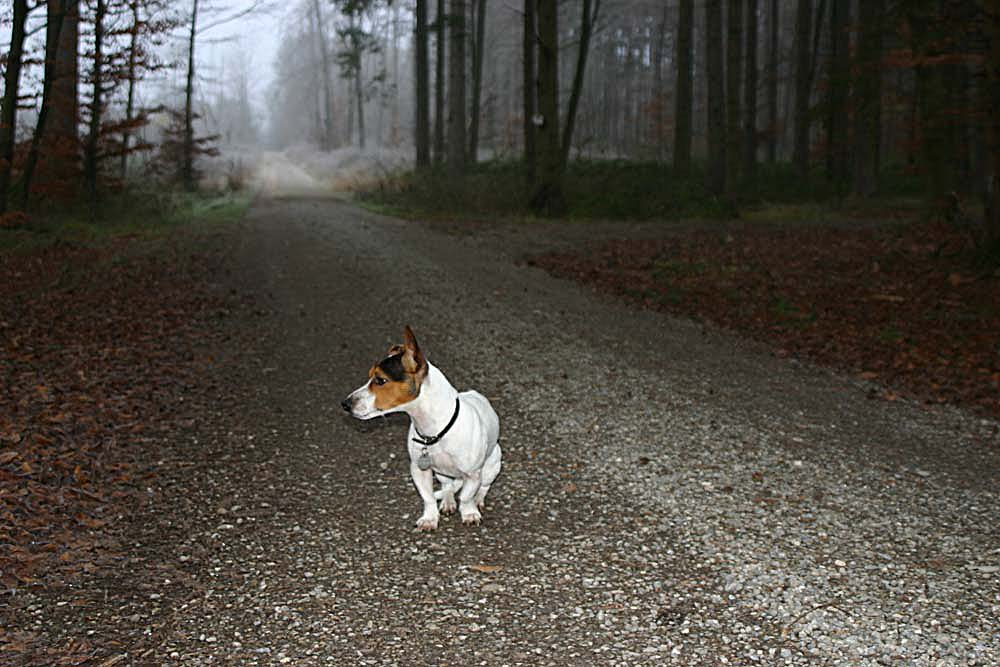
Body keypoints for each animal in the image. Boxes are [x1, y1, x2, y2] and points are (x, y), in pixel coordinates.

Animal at [342, 326, 500, 528]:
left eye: (380, 380)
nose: (345, 404)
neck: (434, 431)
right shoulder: (419, 470)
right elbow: (429, 497)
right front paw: (430, 519)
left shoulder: (473, 475)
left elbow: (466, 497)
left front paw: (469, 513)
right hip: (442, 473)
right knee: (448, 487)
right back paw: (448, 501)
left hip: (492, 465)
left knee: (482, 487)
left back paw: (478, 500)